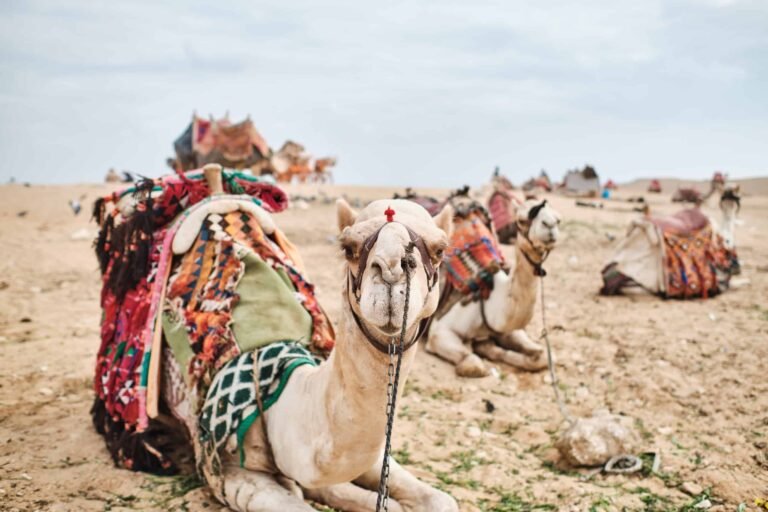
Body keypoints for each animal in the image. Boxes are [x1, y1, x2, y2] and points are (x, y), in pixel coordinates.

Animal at [426, 198, 562, 378]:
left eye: (558, 220)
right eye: (520, 220)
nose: (549, 226)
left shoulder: (509, 330)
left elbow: (544, 357)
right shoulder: (440, 329)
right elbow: (474, 365)